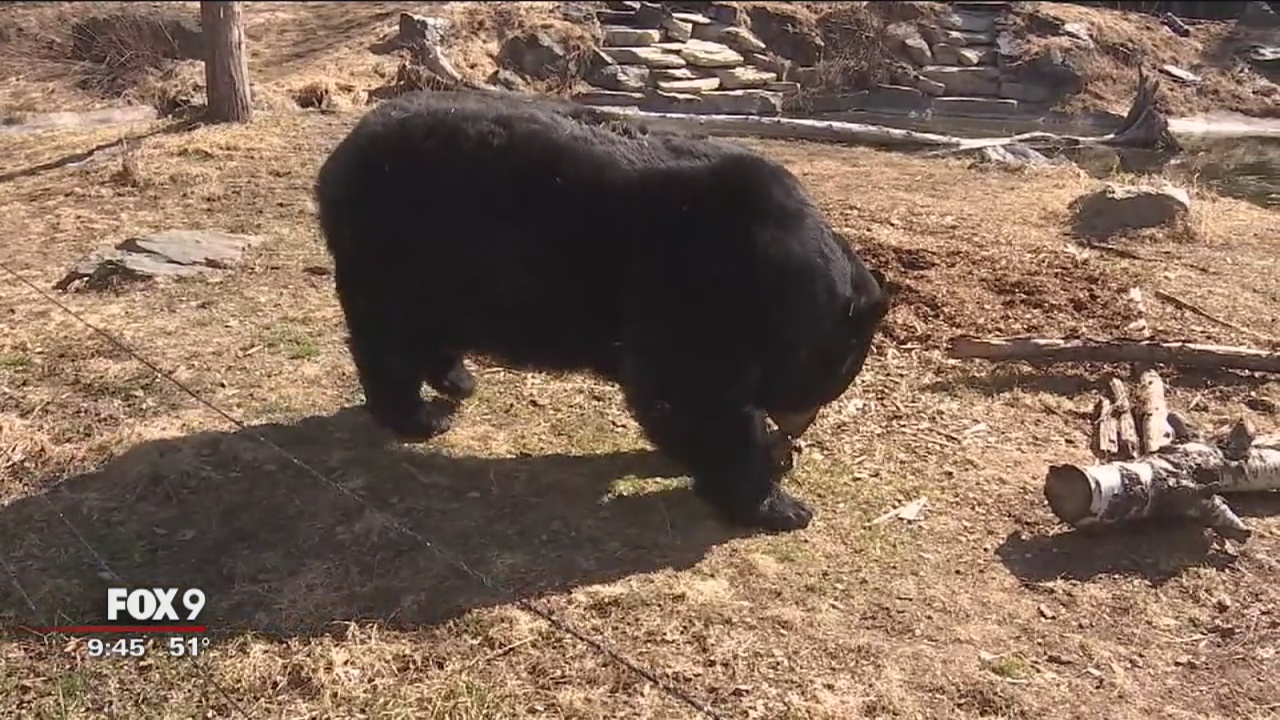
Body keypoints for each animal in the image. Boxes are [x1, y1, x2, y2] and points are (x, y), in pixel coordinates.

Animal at [313, 89, 890, 532]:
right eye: (828, 382)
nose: (799, 429)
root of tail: (338, 158)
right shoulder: (696, 284)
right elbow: (691, 392)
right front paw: (778, 499)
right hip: (395, 244)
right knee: (388, 335)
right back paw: (417, 416)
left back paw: (457, 380)